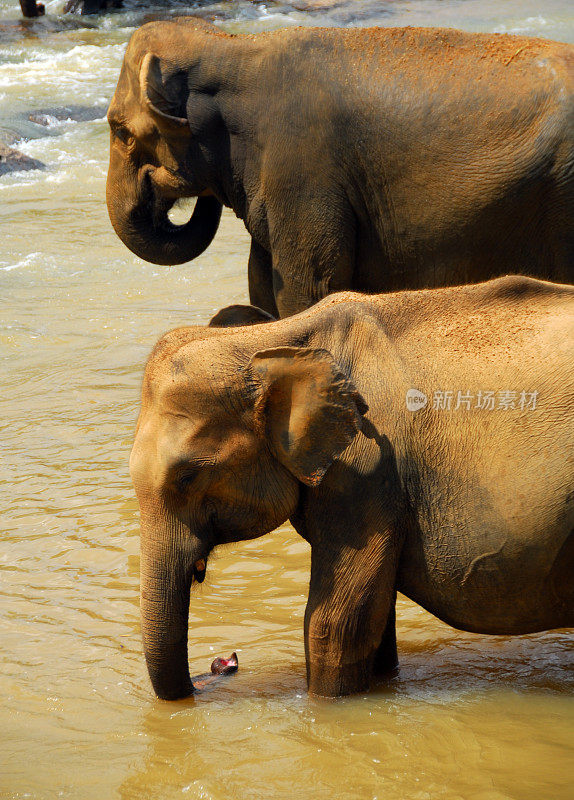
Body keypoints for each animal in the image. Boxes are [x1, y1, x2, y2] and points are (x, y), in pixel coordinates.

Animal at [107, 20, 574, 318]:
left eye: (120, 131)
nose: (160, 185)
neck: (232, 45)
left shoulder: (304, 171)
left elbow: (309, 290)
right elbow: (262, 286)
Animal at [130, 276, 574, 700]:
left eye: (187, 477)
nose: (223, 663)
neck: (273, 342)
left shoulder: (368, 470)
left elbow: (337, 625)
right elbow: (375, 617)